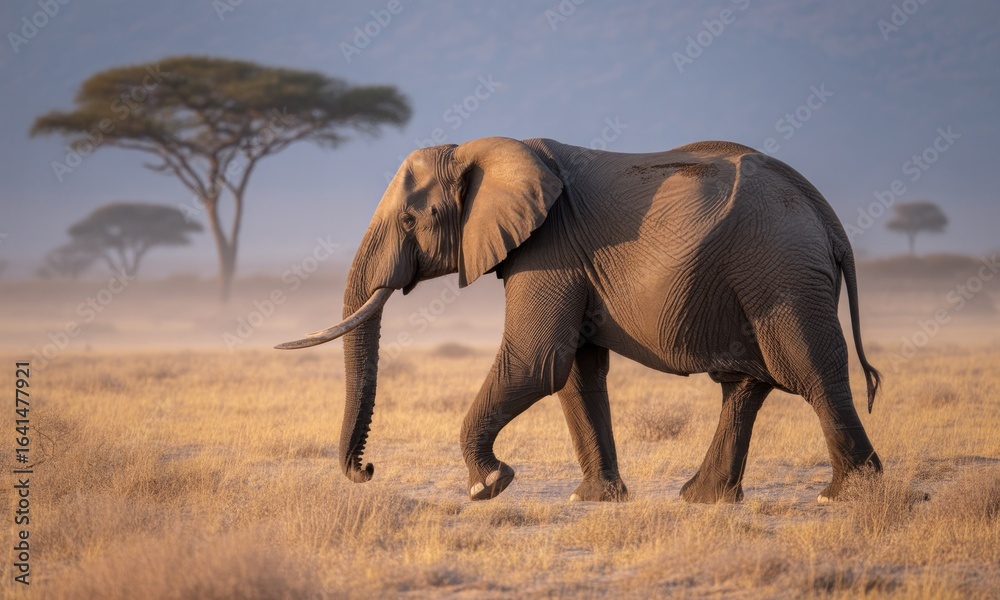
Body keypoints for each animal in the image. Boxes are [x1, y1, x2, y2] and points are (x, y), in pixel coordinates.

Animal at [277, 137, 882, 504]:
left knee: (808, 370)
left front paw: (488, 487)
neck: (484, 147)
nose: (368, 472)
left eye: (409, 219)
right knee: (749, 383)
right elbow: (575, 372)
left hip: (781, 272)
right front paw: (595, 500)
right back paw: (702, 499)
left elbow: (537, 359)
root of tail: (828, 218)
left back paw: (847, 495)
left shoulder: (551, 247)